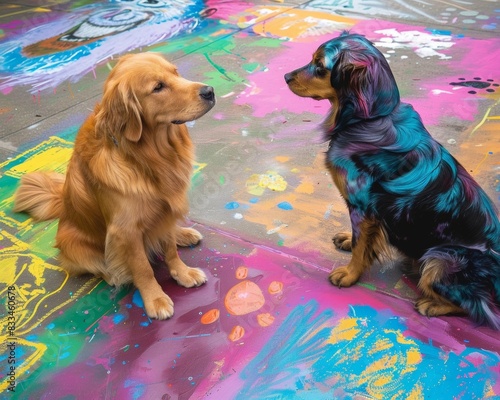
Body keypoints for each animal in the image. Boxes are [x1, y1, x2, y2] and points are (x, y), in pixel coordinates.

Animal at [286, 31, 500, 330]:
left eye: (319, 65)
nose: (285, 76)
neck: (369, 119)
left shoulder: (362, 204)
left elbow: (361, 245)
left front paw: (349, 275)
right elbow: (360, 239)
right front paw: (348, 241)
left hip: (440, 257)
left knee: (478, 308)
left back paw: (431, 305)